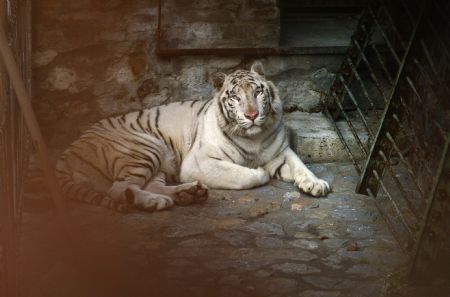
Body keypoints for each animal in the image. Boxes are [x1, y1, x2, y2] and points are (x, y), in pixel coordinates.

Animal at [56, 61, 330, 210]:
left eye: (258, 92)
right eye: (235, 97)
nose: (252, 115)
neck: (254, 136)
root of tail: (71, 149)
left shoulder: (281, 151)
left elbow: (301, 165)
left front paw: (316, 184)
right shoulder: (199, 163)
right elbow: (246, 175)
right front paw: (259, 171)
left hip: (157, 163)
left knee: (146, 185)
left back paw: (185, 195)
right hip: (144, 148)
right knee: (119, 189)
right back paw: (157, 202)